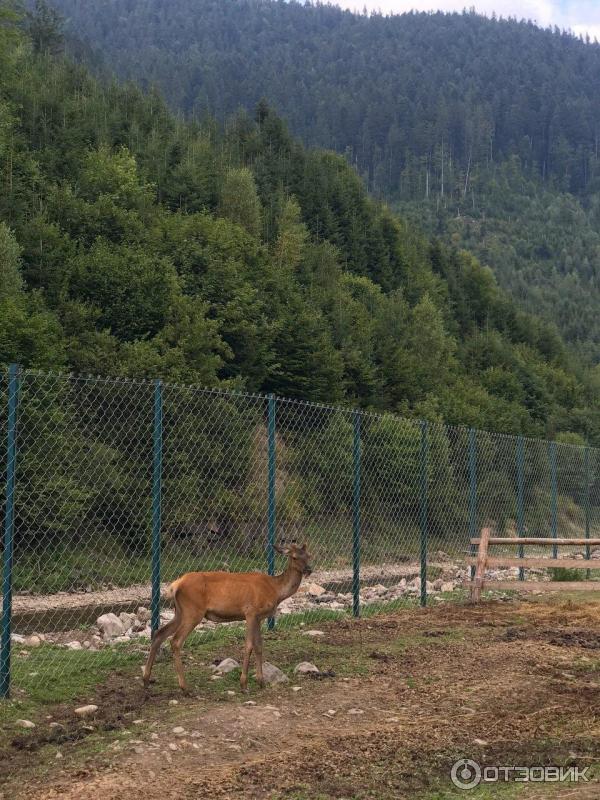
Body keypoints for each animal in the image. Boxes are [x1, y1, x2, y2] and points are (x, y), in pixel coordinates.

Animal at [142, 544, 312, 692]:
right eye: (294, 557)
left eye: (309, 555)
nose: (309, 569)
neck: (275, 591)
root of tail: (176, 585)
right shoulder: (250, 612)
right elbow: (249, 645)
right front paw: (244, 684)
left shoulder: (259, 617)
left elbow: (259, 646)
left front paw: (261, 681)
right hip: (193, 611)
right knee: (176, 641)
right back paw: (185, 688)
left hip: (180, 612)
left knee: (159, 633)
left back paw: (146, 680)